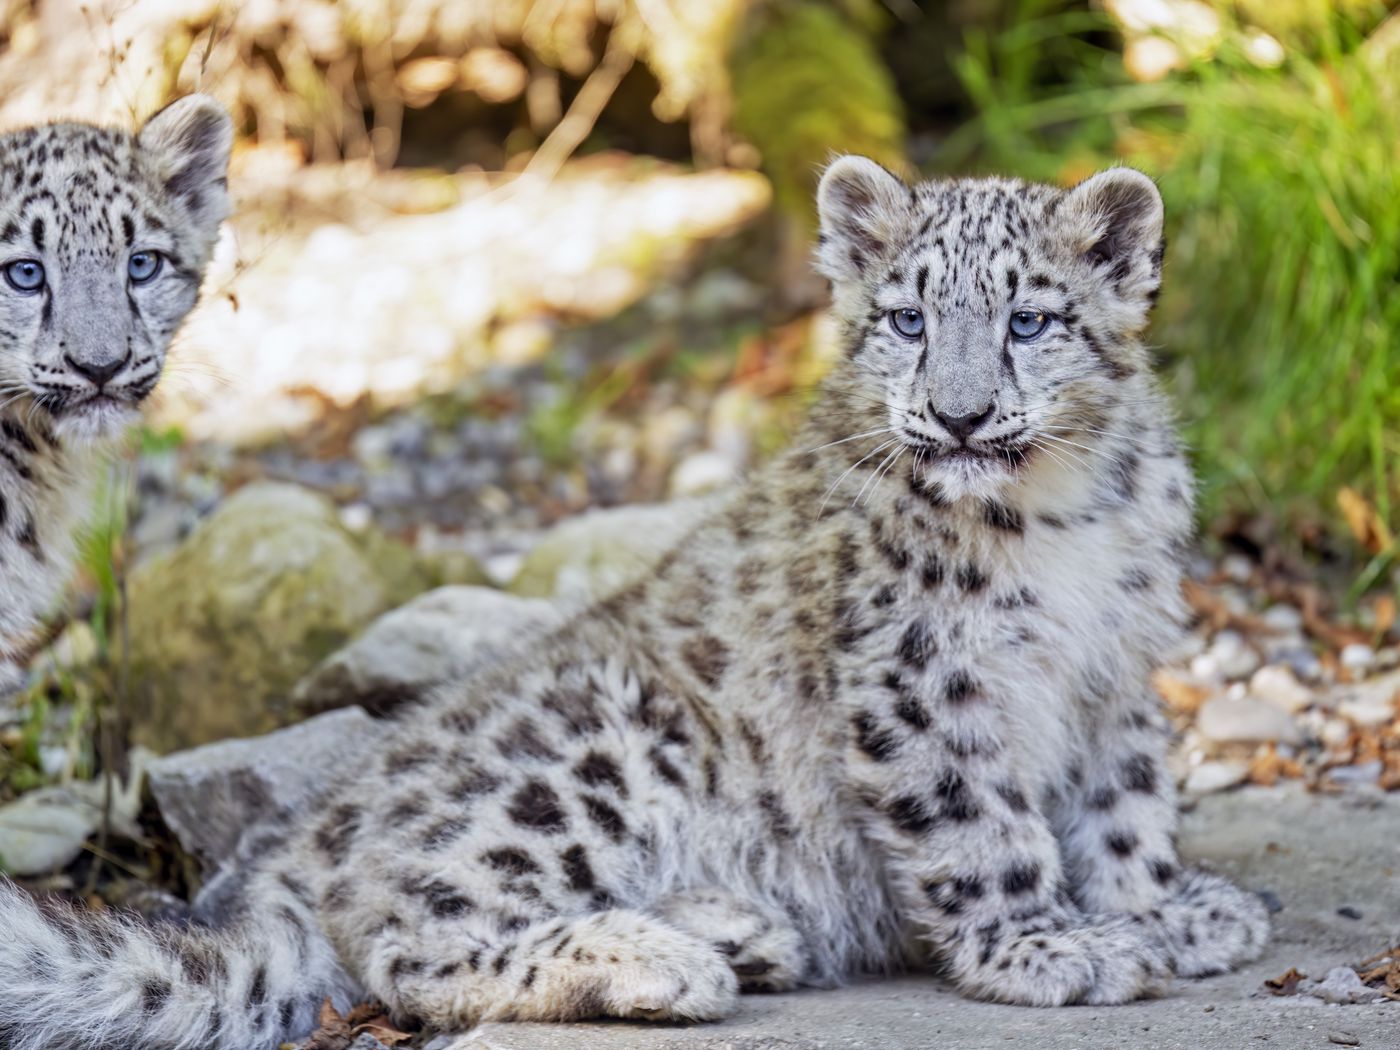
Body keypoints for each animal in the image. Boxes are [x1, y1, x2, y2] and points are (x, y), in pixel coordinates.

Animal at [0, 157, 1269, 1049]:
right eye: (908, 320)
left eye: (1028, 321)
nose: (957, 417)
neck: (1059, 521)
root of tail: (282, 870)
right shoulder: (916, 678)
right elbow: (982, 825)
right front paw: (1045, 945)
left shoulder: (1115, 667)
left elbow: (1124, 806)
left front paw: (1165, 912)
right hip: (590, 752)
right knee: (406, 938)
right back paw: (662, 963)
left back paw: (737, 930)